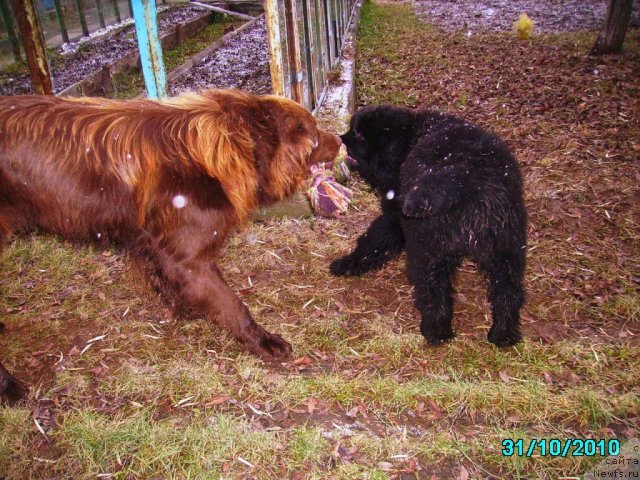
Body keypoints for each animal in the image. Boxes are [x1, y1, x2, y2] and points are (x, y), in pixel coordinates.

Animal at [0, 88, 342, 400]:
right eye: (312, 133)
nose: (340, 140)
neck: (230, 148)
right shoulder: (188, 258)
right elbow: (233, 305)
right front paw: (263, 341)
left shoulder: (160, 250)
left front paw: (186, 308)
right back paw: (11, 389)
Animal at [332, 105, 528, 346]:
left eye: (359, 135)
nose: (338, 139)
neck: (410, 139)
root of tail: (461, 177)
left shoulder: (396, 216)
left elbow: (373, 241)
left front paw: (347, 263)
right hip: (506, 244)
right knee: (508, 289)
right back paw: (503, 333)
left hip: (427, 247)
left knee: (434, 289)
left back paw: (435, 331)